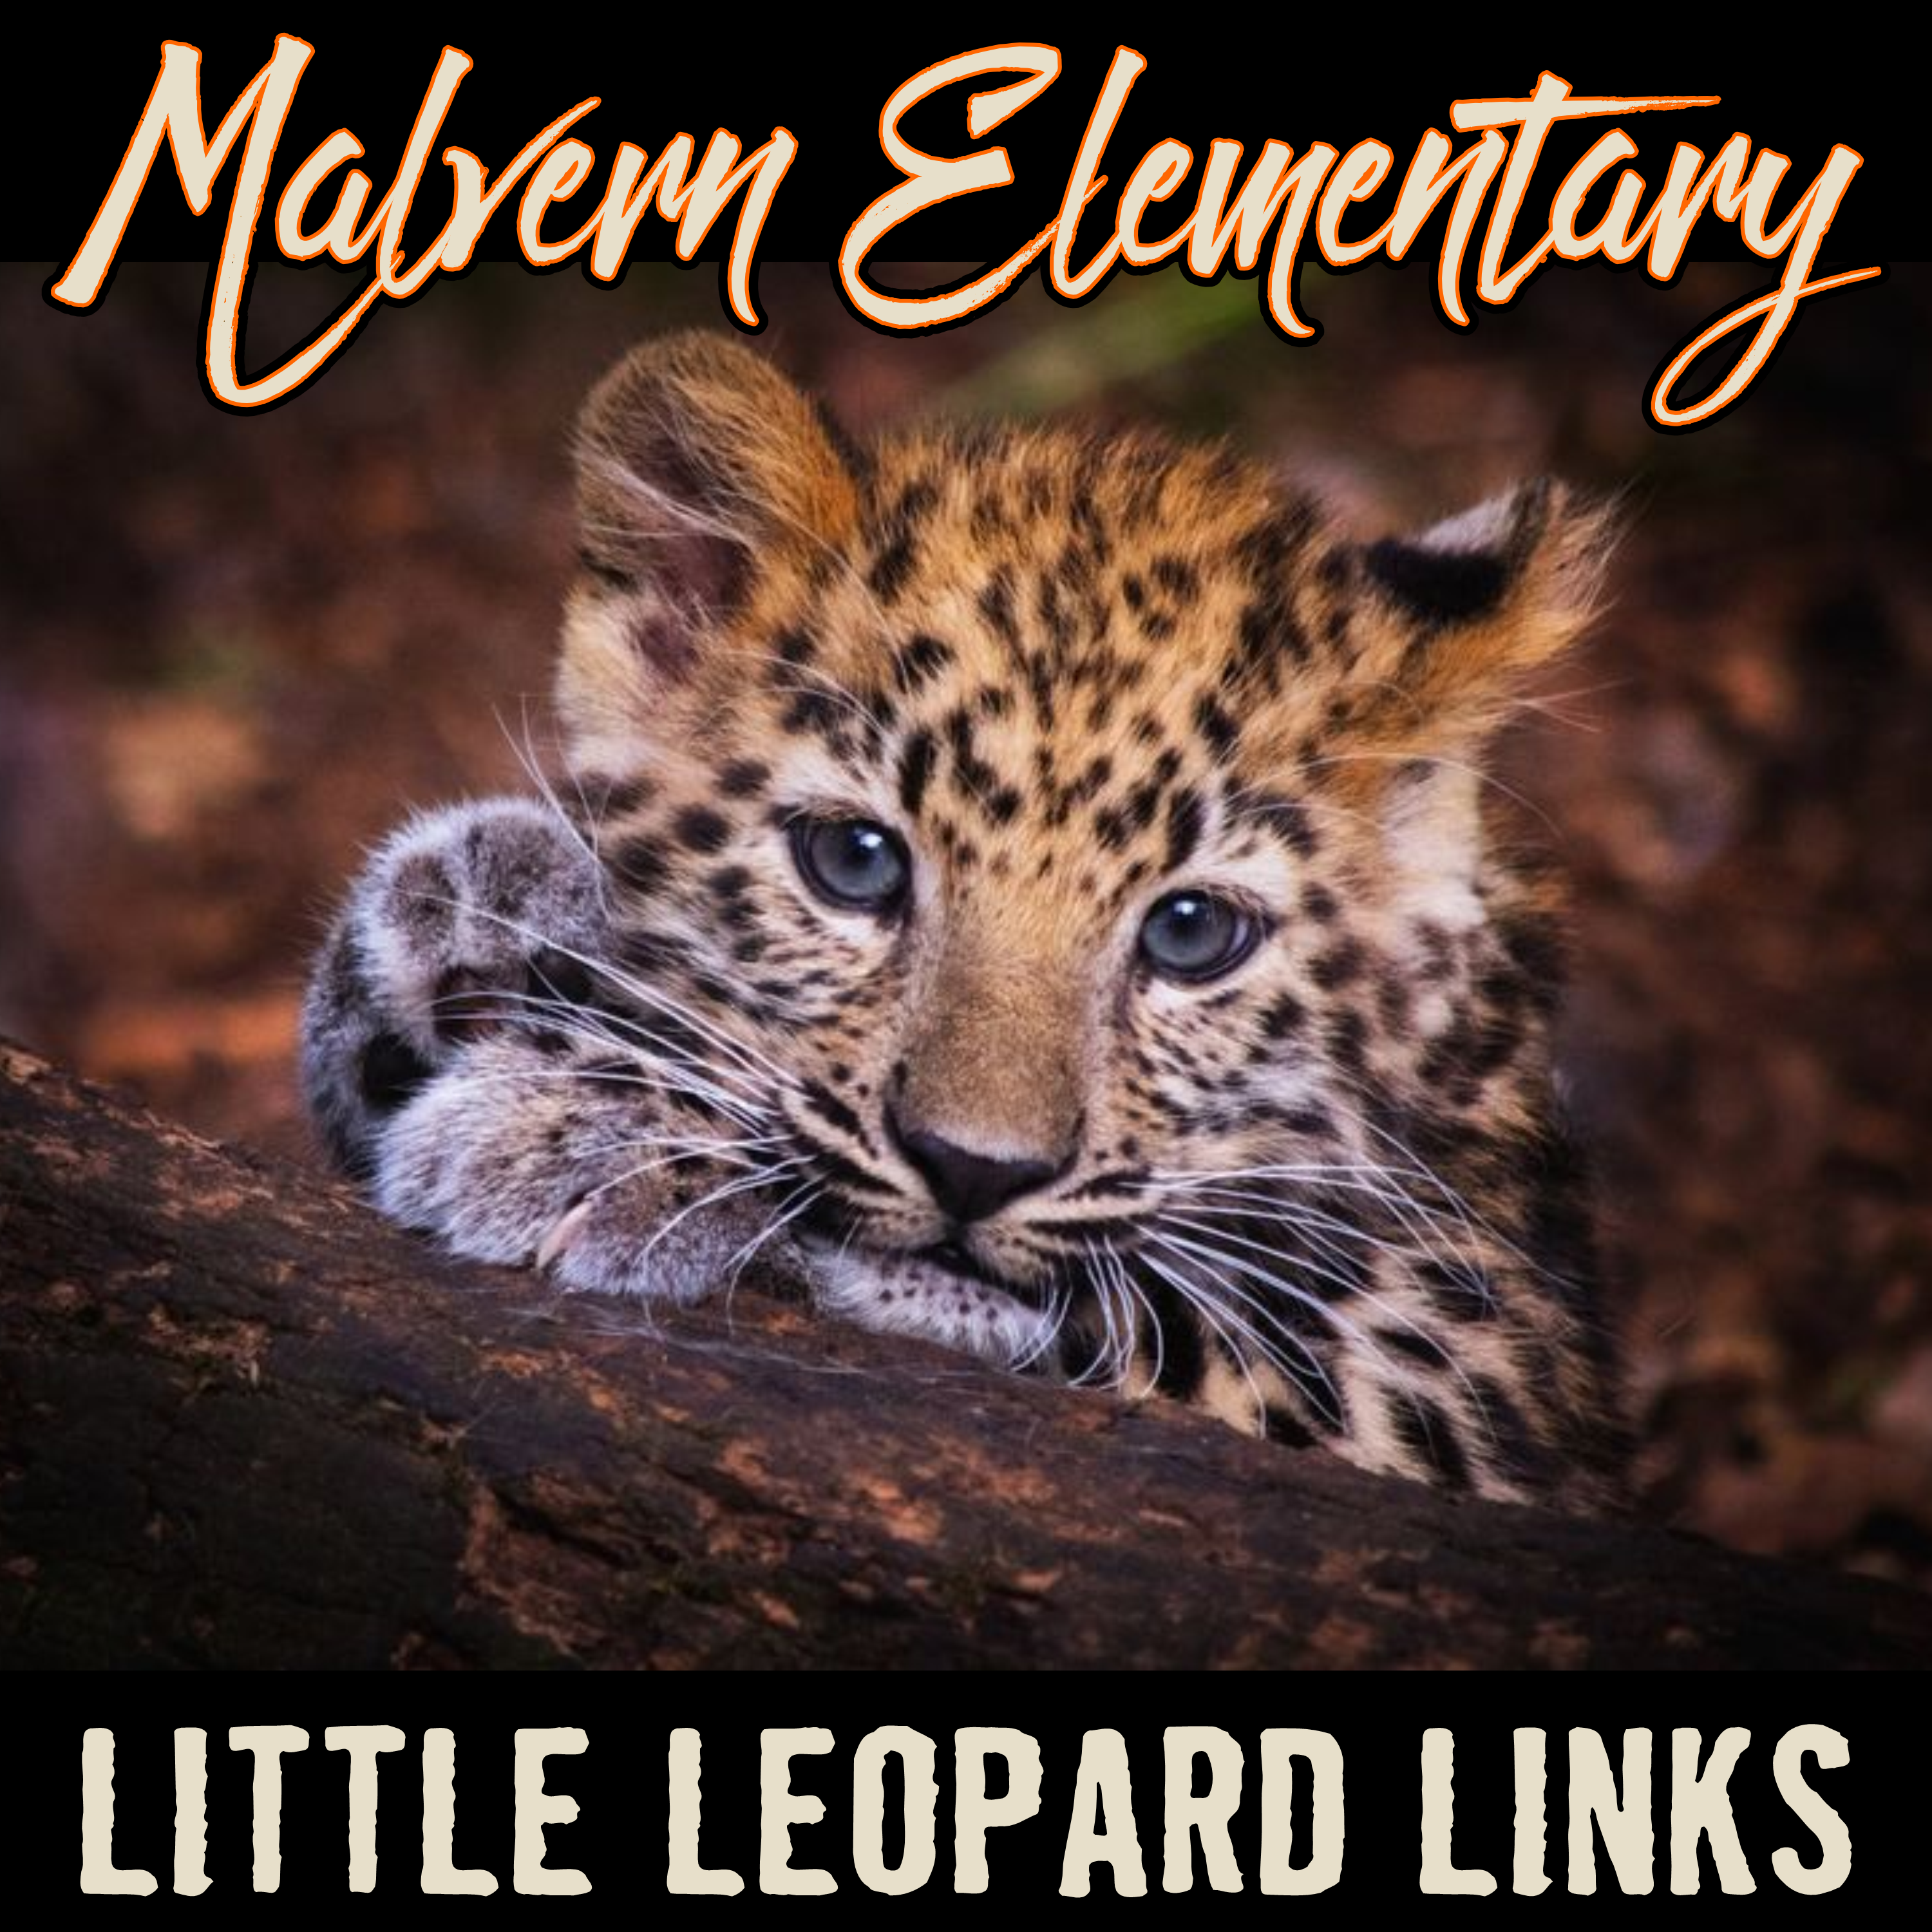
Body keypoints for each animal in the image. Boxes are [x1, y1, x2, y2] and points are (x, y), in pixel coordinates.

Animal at [302, 332, 1628, 1510]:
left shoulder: (1461, 1380)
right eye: (854, 864)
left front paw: (602, 1145)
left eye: (1191, 934)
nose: (973, 1172)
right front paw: (478, 919)